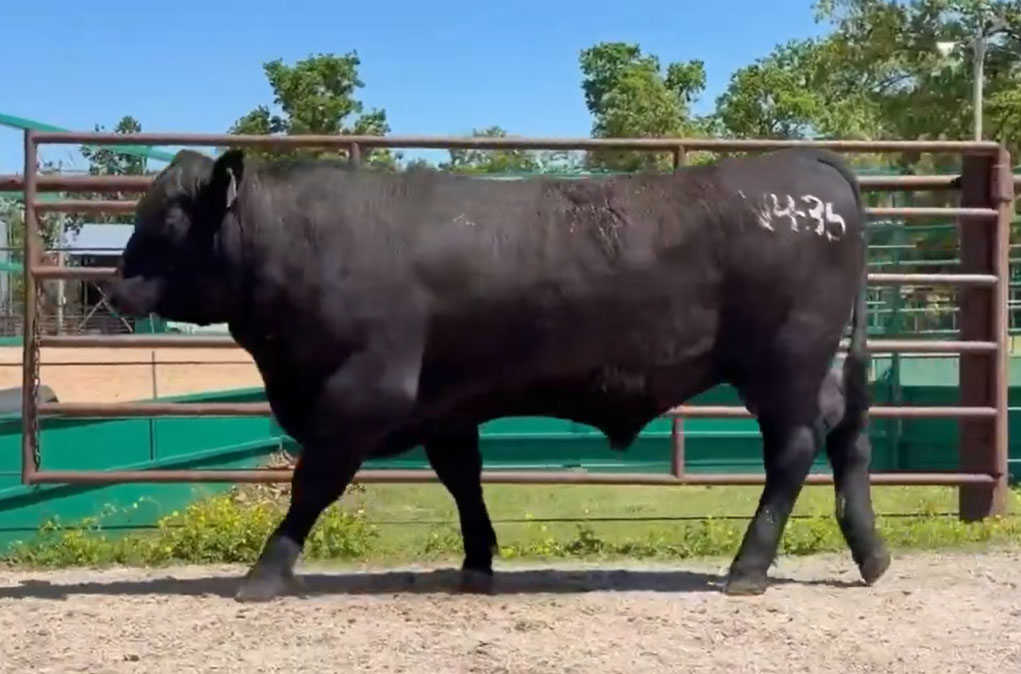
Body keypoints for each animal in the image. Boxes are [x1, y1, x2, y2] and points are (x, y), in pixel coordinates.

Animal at [105, 145, 891, 602]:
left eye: (167, 222)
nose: (115, 290)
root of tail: (804, 167)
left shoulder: (364, 392)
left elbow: (313, 483)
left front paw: (265, 572)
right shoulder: (443, 404)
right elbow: (463, 480)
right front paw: (478, 563)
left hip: (782, 365)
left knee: (793, 450)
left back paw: (747, 569)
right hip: (809, 367)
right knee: (847, 427)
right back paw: (871, 553)